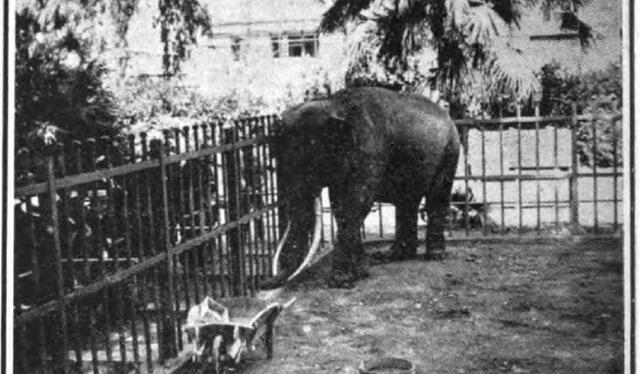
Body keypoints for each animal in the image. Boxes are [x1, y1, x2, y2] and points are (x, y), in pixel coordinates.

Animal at [266, 86, 460, 288]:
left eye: (310, 162)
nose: (266, 282)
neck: (334, 104)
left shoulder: (370, 151)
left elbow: (356, 203)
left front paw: (340, 280)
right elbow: (340, 206)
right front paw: (361, 273)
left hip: (450, 151)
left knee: (436, 198)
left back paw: (434, 255)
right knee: (406, 203)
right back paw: (392, 255)